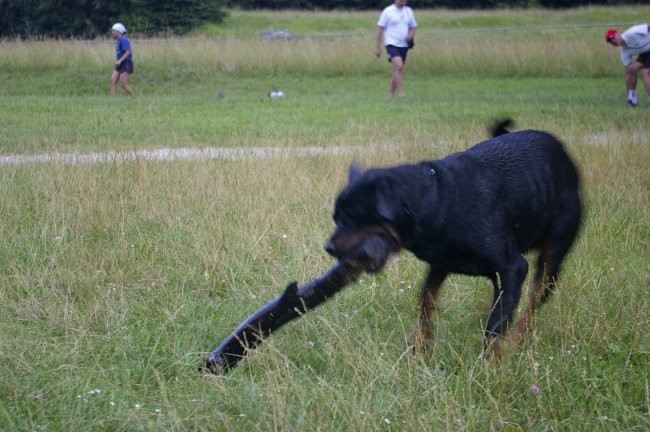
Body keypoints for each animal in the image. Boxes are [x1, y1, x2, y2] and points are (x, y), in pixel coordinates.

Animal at [324, 120, 584, 356]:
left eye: (355, 218)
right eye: (336, 217)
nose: (329, 247)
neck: (436, 202)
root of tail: (564, 155)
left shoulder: (513, 266)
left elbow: (496, 325)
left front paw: (489, 363)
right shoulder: (439, 266)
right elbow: (425, 304)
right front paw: (419, 349)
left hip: (552, 257)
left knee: (533, 303)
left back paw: (514, 341)